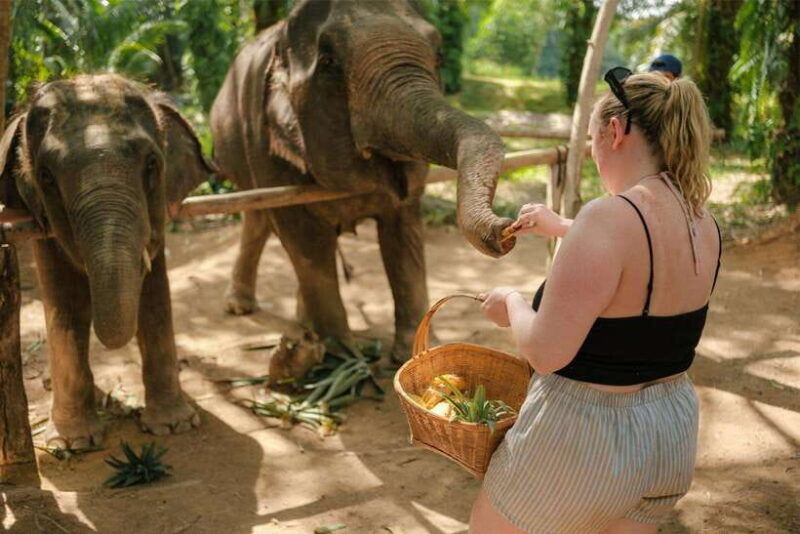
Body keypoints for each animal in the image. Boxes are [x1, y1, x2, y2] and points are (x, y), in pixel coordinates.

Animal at [0, 75, 213, 449]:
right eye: (46, 177)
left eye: (152, 164)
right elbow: (68, 306)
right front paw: (74, 444)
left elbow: (154, 302)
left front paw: (174, 426)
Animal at [211, 0, 515, 362]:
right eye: (329, 63)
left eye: (439, 55)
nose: (504, 231)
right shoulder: (264, 142)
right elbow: (304, 239)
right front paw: (342, 358)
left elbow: (404, 232)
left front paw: (409, 353)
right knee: (259, 217)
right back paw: (243, 309)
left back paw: (301, 324)